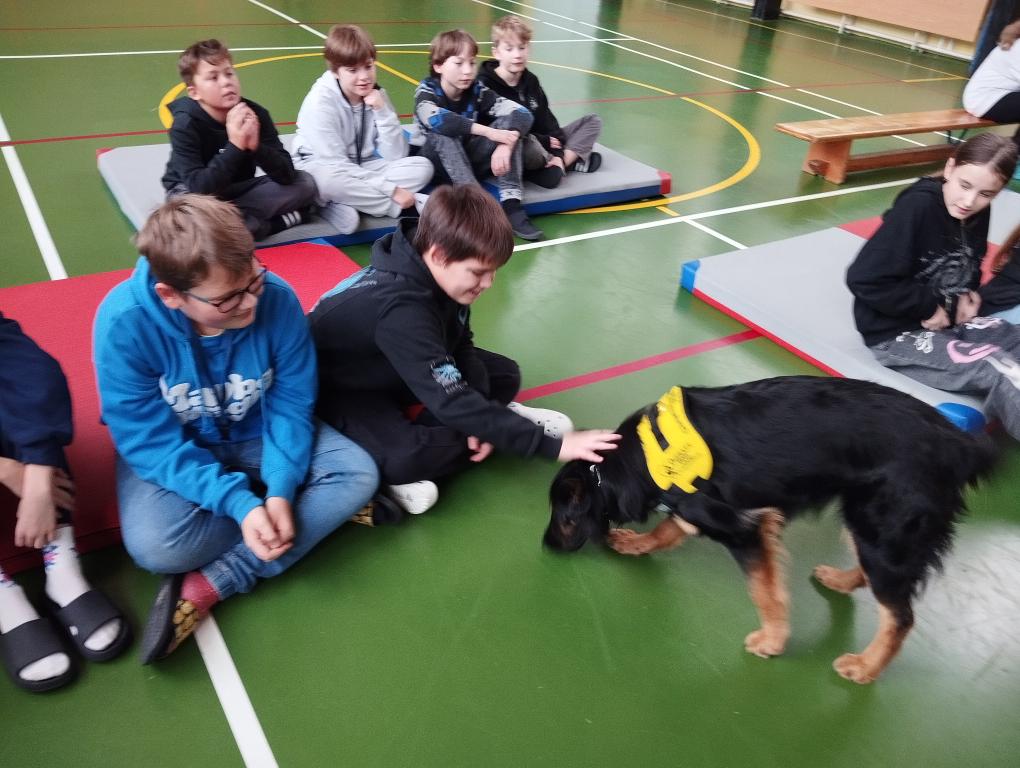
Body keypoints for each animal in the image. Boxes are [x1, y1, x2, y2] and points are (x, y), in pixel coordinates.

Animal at [544, 376, 996, 684]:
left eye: (564, 518)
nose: (546, 546)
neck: (630, 463)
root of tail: (960, 444)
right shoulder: (697, 507)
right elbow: (668, 530)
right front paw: (638, 543)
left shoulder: (742, 527)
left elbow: (763, 591)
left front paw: (773, 641)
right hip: (865, 522)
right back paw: (840, 581)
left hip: (881, 525)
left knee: (899, 615)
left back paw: (866, 666)